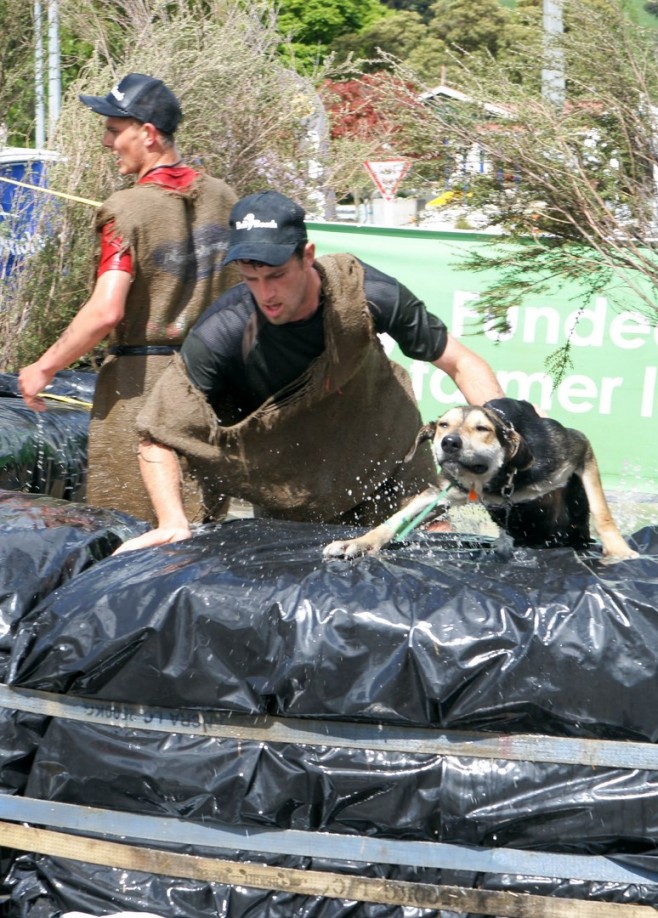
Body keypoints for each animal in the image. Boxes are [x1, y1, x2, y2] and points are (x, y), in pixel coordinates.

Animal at [324, 398, 638, 561]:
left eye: (482, 429)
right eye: (443, 425)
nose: (449, 443)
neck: (500, 480)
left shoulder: (578, 450)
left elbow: (602, 512)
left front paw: (619, 551)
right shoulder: (443, 491)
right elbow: (395, 519)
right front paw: (360, 542)